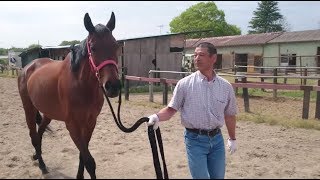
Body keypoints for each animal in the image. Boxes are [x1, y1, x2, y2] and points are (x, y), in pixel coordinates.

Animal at [17, 11, 121, 179]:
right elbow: (89, 161)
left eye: (115, 45)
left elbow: (82, 156)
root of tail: (28, 67)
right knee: (33, 136)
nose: (113, 86)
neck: (82, 86)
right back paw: (42, 165)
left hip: (48, 113)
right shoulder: (72, 125)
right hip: (29, 109)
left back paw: (37, 157)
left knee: (39, 134)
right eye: (93, 47)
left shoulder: (90, 123)